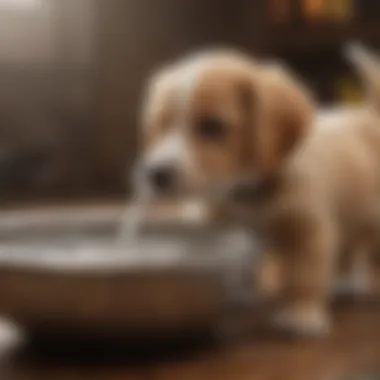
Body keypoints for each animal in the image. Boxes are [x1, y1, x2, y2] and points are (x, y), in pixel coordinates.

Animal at [137, 48, 380, 338]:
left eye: (212, 126)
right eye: (160, 126)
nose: (156, 174)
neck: (246, 192)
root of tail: (368, 114)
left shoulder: (307, 230)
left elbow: (305, 274)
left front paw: (302, 311)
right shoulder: (224, 225)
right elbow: (241, 268)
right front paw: (239, 295)